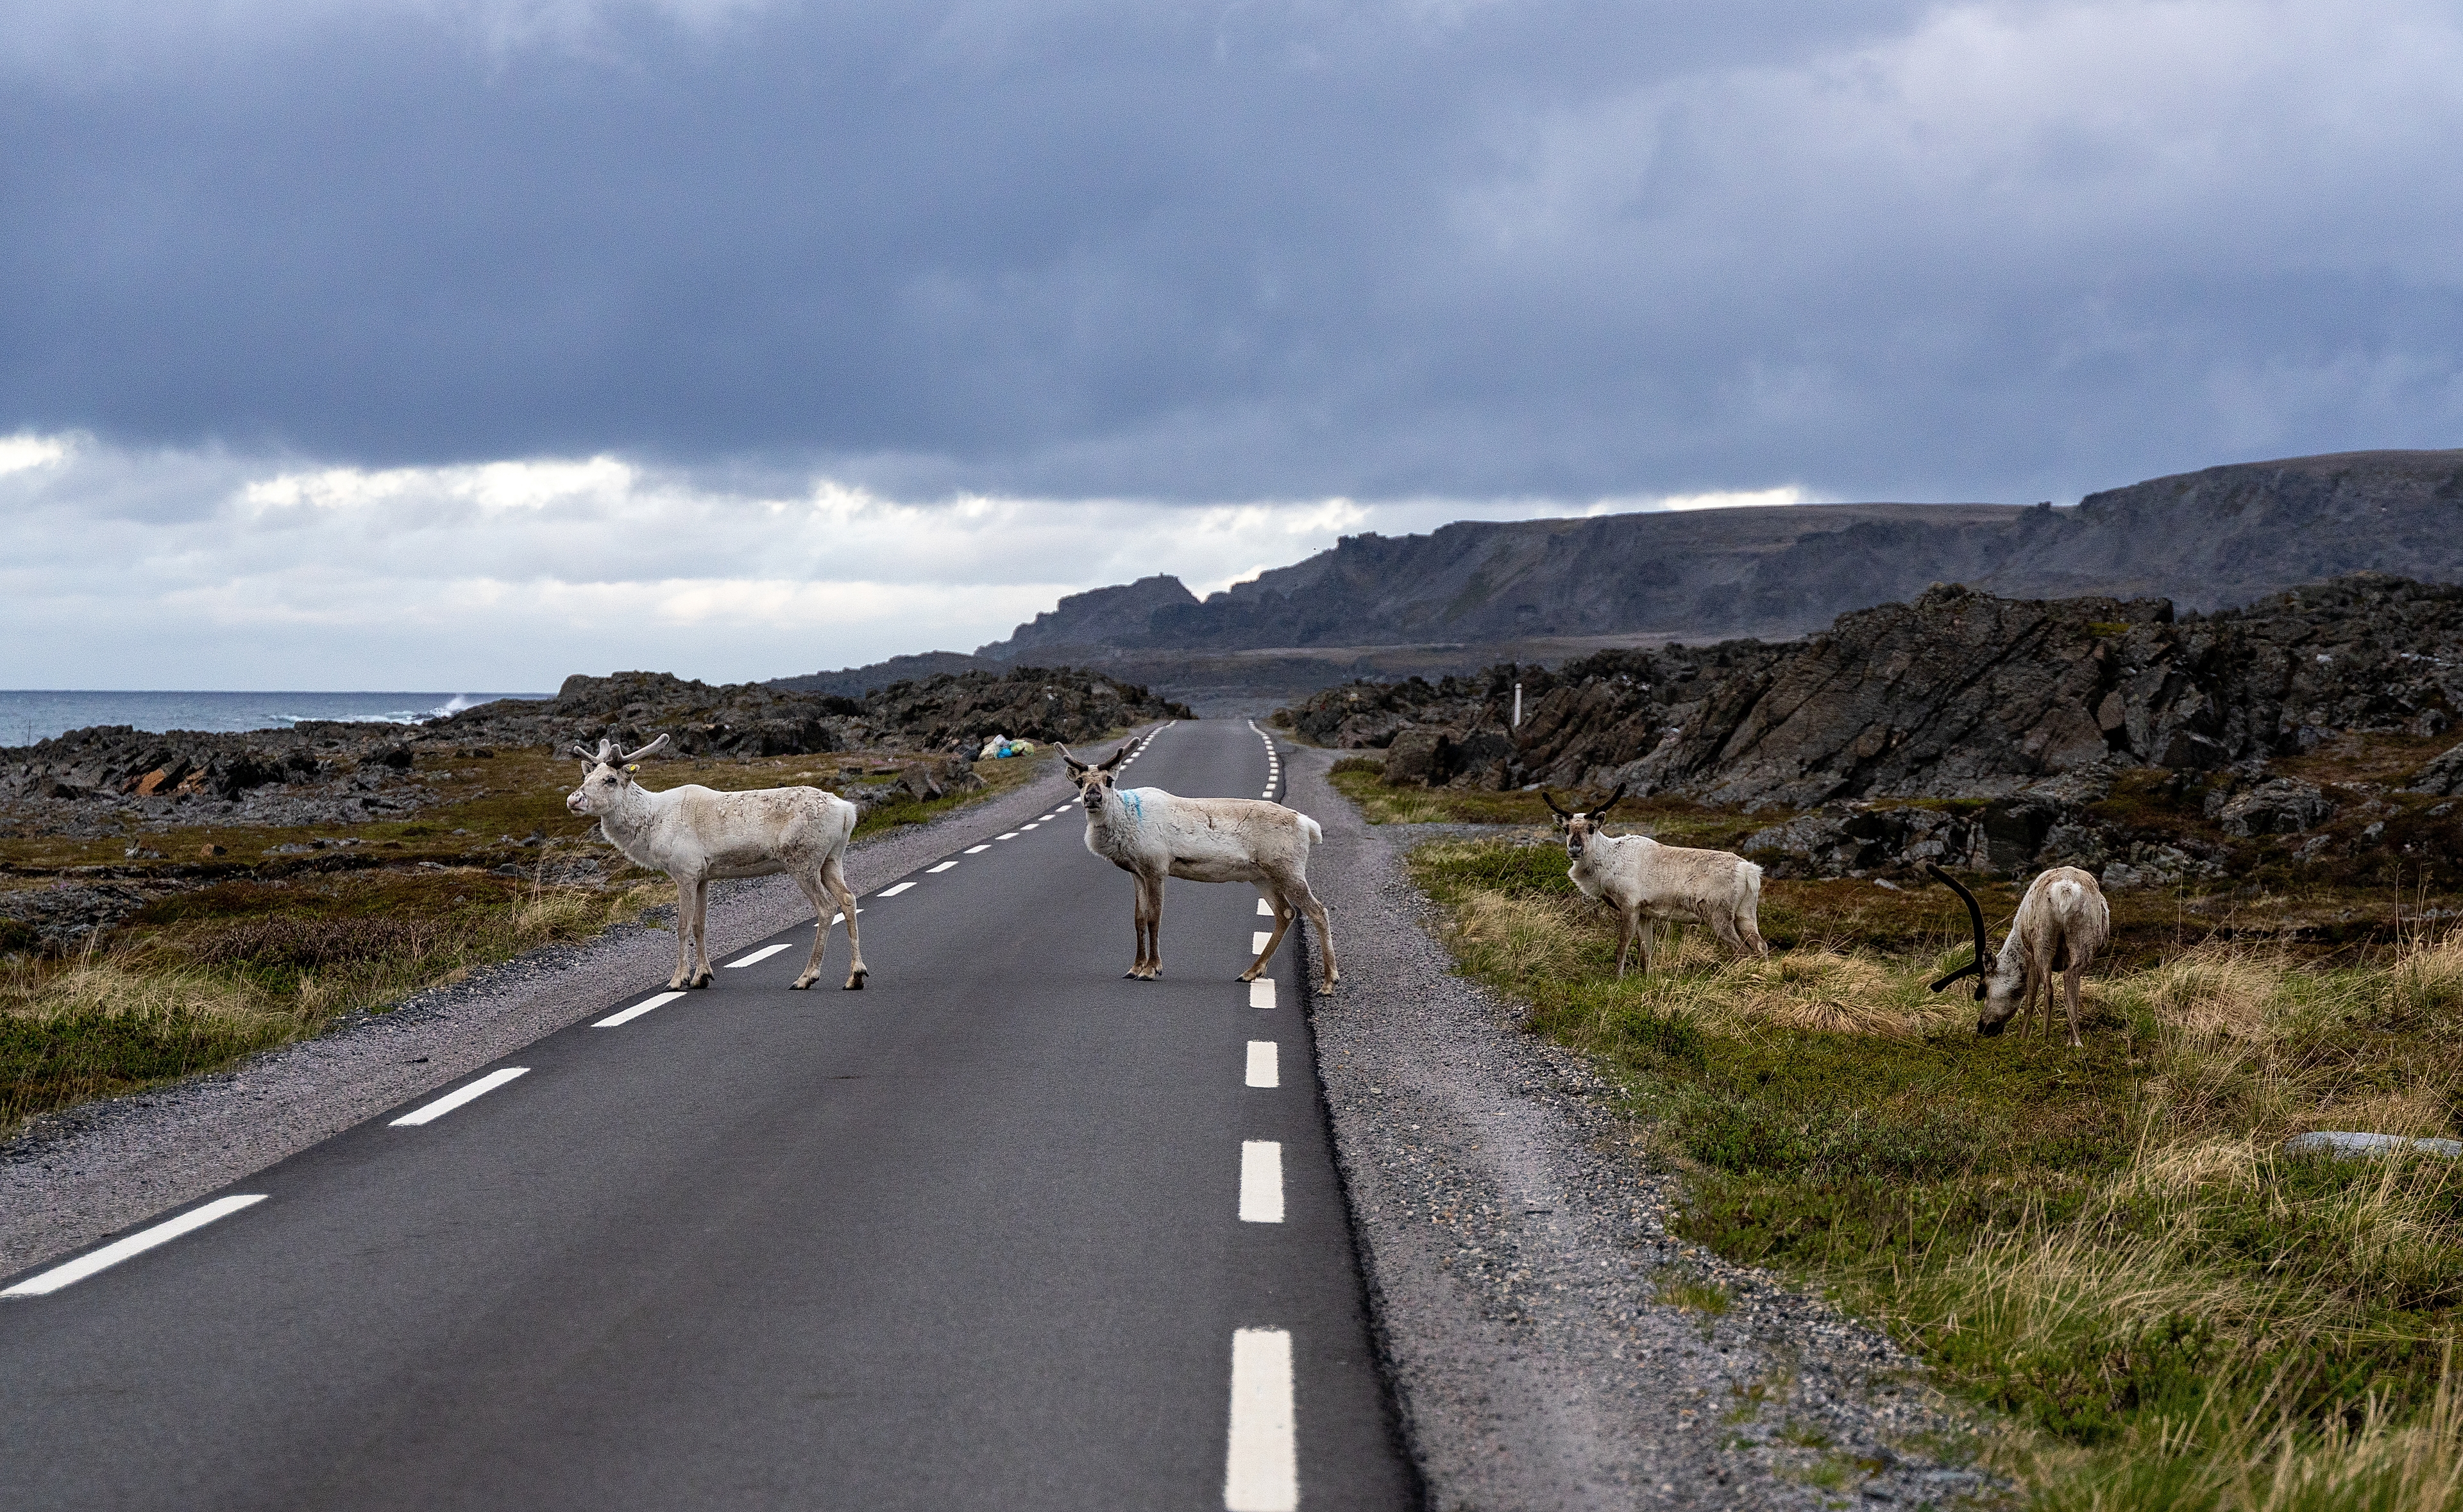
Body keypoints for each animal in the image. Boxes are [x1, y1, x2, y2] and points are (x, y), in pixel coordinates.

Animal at [566, 735, 869, 992]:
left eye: (610, 779)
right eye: (586, 775)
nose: (573, 799)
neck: (652, 826)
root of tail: (848, 811)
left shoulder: (685, 871)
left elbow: (682, 925)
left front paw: (677, 980)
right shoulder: (703, 876)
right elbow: (700, 925)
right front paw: (702, 976)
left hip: (803, 860)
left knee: (826, 907)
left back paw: (807, 977)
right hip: (831, 859)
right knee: (848, 898)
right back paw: (855, 975)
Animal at [1064, 739, 1339, 994]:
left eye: (1109, 780)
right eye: (1080, 782)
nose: (1092, 798)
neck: (1126, 819)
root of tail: (1308, 825)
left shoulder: (1156, 868)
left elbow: (1154, 918)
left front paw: (1152, 969)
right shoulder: (1137, 873)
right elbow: (1138, 919)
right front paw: (1134, 968)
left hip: (1288, 869)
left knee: (1318, 911)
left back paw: (1328, 982)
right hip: (1263, 876)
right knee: (1286, 913)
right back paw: (1250, 973)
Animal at [1926, 862, 2109, 1044]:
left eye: (1983, 990)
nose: (1983, 1028)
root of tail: (2066, 890)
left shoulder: (2030, 957)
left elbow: (2029, 1000)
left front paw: (2023, 1037)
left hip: (2043, 943)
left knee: (2049, 989)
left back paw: (2045, 1038)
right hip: (2082, 943)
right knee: (2070, 977)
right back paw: (2076, 1042)